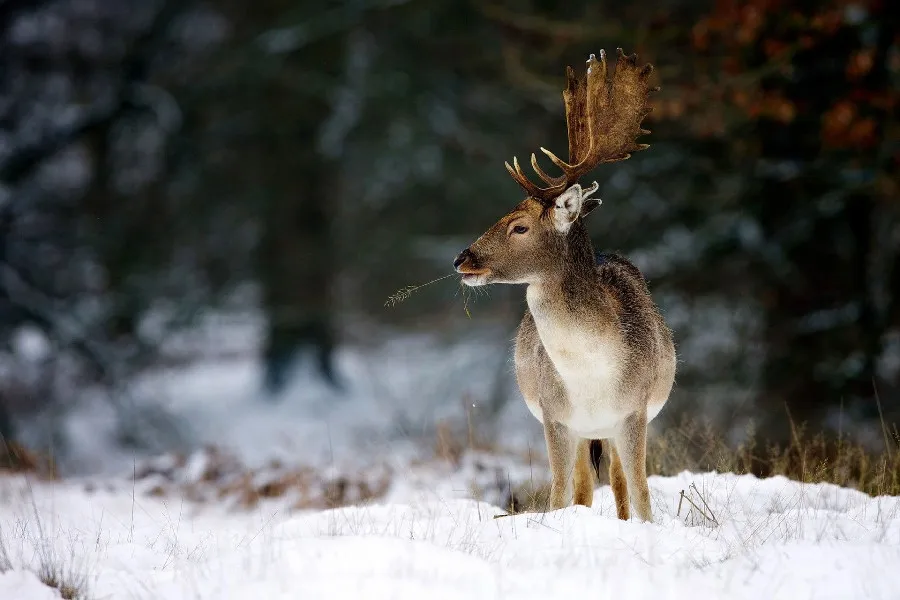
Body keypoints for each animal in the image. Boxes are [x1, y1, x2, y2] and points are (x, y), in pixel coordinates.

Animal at [453, 49, 675, 522]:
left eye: (519, 226)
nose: (462, 259)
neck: (590, 374)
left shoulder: (635, 411)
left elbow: (642, 492)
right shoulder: (554, 415)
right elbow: (558, 493)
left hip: (614, 427)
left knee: (618, 482)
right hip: (579, 430)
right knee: (585, 485)